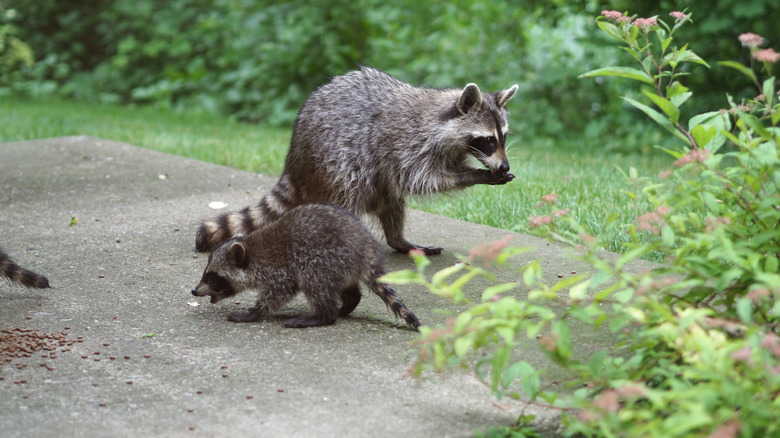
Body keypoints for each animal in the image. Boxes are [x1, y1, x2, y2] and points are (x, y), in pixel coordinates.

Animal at [191, 203, 421, 330]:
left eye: (212, 276)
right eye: (205, 273)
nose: (194, 290)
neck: (251, 252)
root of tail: (367, 250)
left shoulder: (277, 271)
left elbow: (279, 293)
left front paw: (255, 313)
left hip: (323, 258)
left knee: (313, 281)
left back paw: (323, 316)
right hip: (339, 265)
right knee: (348, 291)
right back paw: (346, 305)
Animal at [196, 66, 518, 255]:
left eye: (502, 137)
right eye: (488, 140)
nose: (504, 166)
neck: (439, 117)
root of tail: (294, 161)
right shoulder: (404, 145)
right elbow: (422, 180)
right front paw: (476, 175)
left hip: (372, 180)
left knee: (391, 201)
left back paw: (398, 240)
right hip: (334, 161)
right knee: (348, 192)